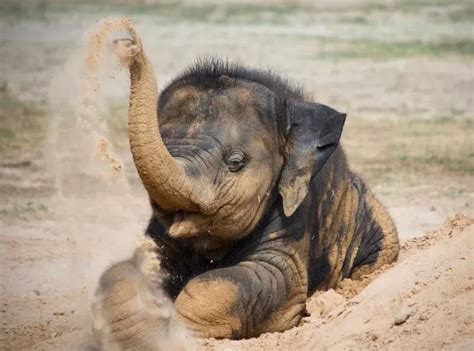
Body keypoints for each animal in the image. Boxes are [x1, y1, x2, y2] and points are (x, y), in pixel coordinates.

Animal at [91, 28, 396, 350]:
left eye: (235, 162)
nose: (127, 43)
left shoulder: (293, 211)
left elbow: (264, 277)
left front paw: (179, 337)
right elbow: (121, 275)